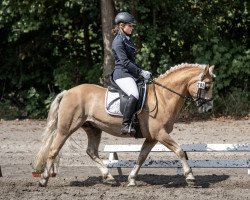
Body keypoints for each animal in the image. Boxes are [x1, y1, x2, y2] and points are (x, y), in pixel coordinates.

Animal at [31, 63, 215, 187]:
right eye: (206, 86)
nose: (208, 108)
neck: (164, 96)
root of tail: (67, 92)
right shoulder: (160, 133)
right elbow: (180, 150)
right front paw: (190, 177)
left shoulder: (152, 137)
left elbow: (141, 157)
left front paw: (131, 179)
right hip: (66, 128)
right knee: (53, 150)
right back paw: (43, 180)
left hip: (93, 128)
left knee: (91, 151)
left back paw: (109, 178)